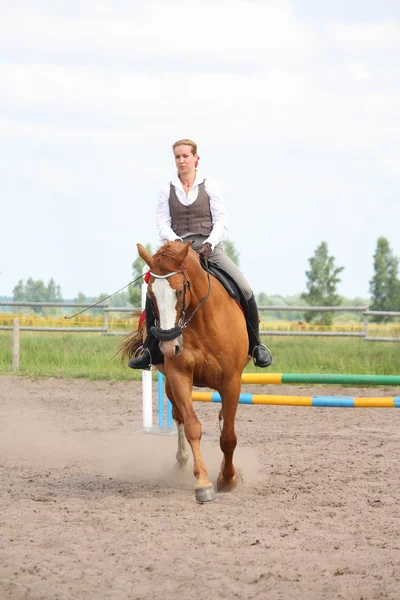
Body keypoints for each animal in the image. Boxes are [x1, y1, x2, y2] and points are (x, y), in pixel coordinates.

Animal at [122, 241, 248, 504]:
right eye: (151, 296)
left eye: (180, 292)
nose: (168, 346)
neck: (202, 322)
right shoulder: (179, 377)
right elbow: (192, 427)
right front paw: (203, 483)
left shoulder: (231, 382)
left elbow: (228, 436)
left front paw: (228, 479)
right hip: (170, 384)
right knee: (178, 417)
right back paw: (181, 461)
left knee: (223, 420)